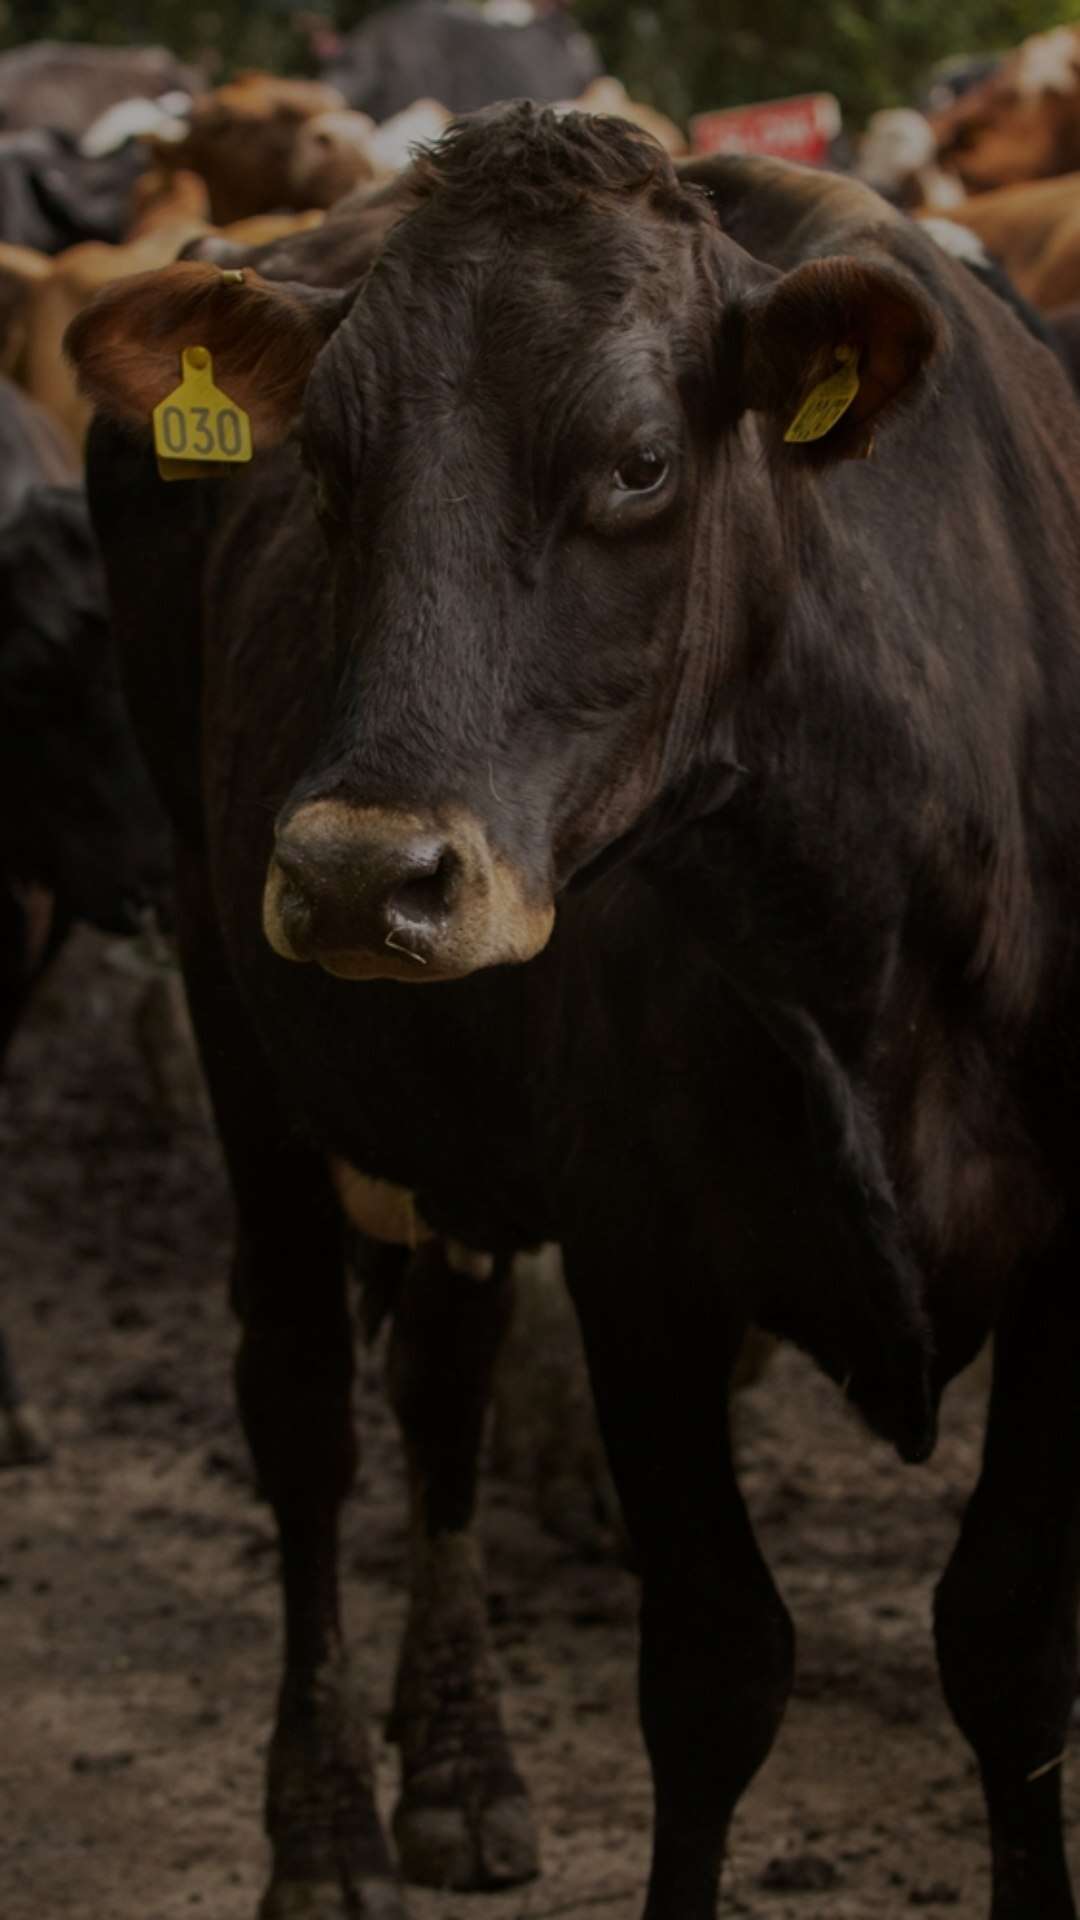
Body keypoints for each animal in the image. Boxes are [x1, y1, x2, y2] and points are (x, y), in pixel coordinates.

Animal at [69, 108, 1080, 1920]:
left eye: (638, 464)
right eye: (322, 466)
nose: (357, 875)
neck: (866, 930)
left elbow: (1013, 1647)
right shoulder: (643, 1248)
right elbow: (715, 1670)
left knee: (443, 1390)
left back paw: (460, 1768)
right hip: (224, 980)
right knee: (305, 1410)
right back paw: (327, 1828)